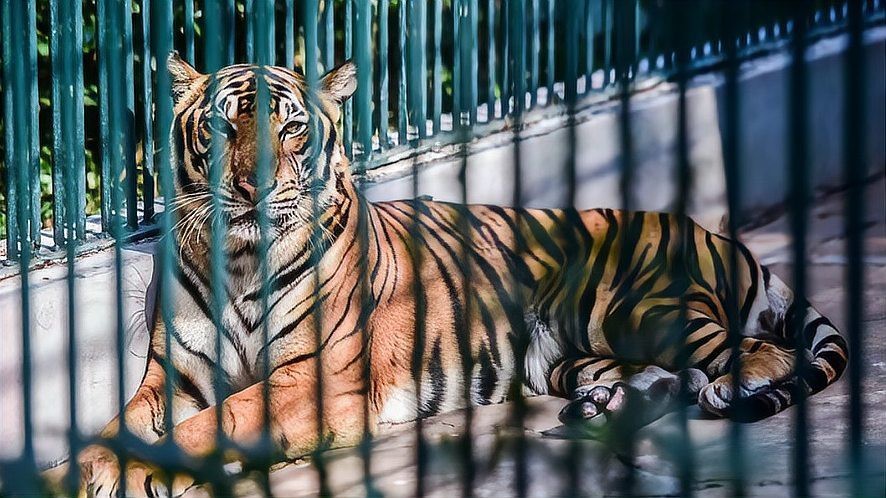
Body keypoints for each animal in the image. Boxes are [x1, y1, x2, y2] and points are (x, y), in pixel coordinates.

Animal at [47, 54, 848, 497]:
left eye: (292, 127)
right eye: (221, 125)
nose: (251, 188)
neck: (240, 261)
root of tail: (706, 229)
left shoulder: (314, 380)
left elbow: (223, 419)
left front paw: (145, 473)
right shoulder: (171, 379)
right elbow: (116, 427)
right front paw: (74, 473)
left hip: (633, 308)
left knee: (761, 352)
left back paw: (724, 388)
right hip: (565, 355)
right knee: (658, 373)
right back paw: (609, 407)